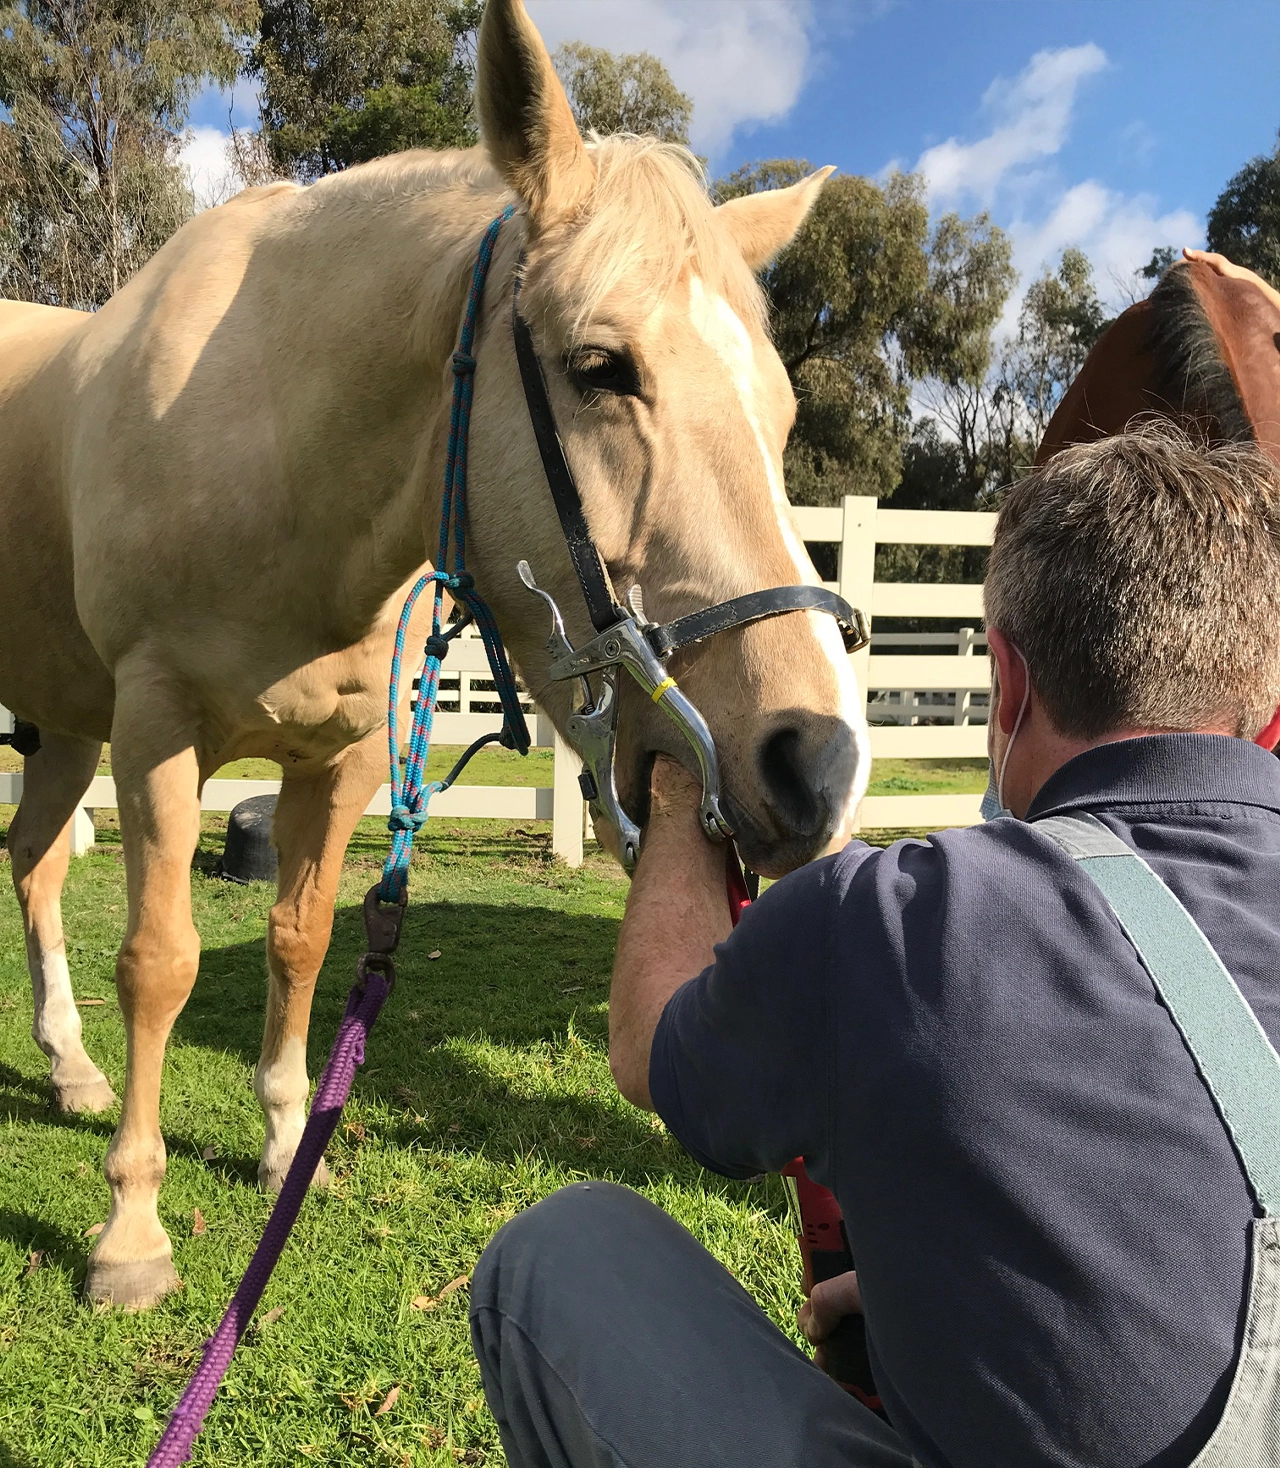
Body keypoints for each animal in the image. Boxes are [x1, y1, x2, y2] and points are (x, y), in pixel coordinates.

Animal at [0, 0, 868, 1309]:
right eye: (599, 367)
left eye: (778, 413)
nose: (814, 764)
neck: (275, 449)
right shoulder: (155, 733)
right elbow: (159, 962)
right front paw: (132, 1232)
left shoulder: (342, 755)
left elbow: (302, 938)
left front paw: (282, 1139)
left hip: (60, 724)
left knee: (35, 862)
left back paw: (69, 1067)